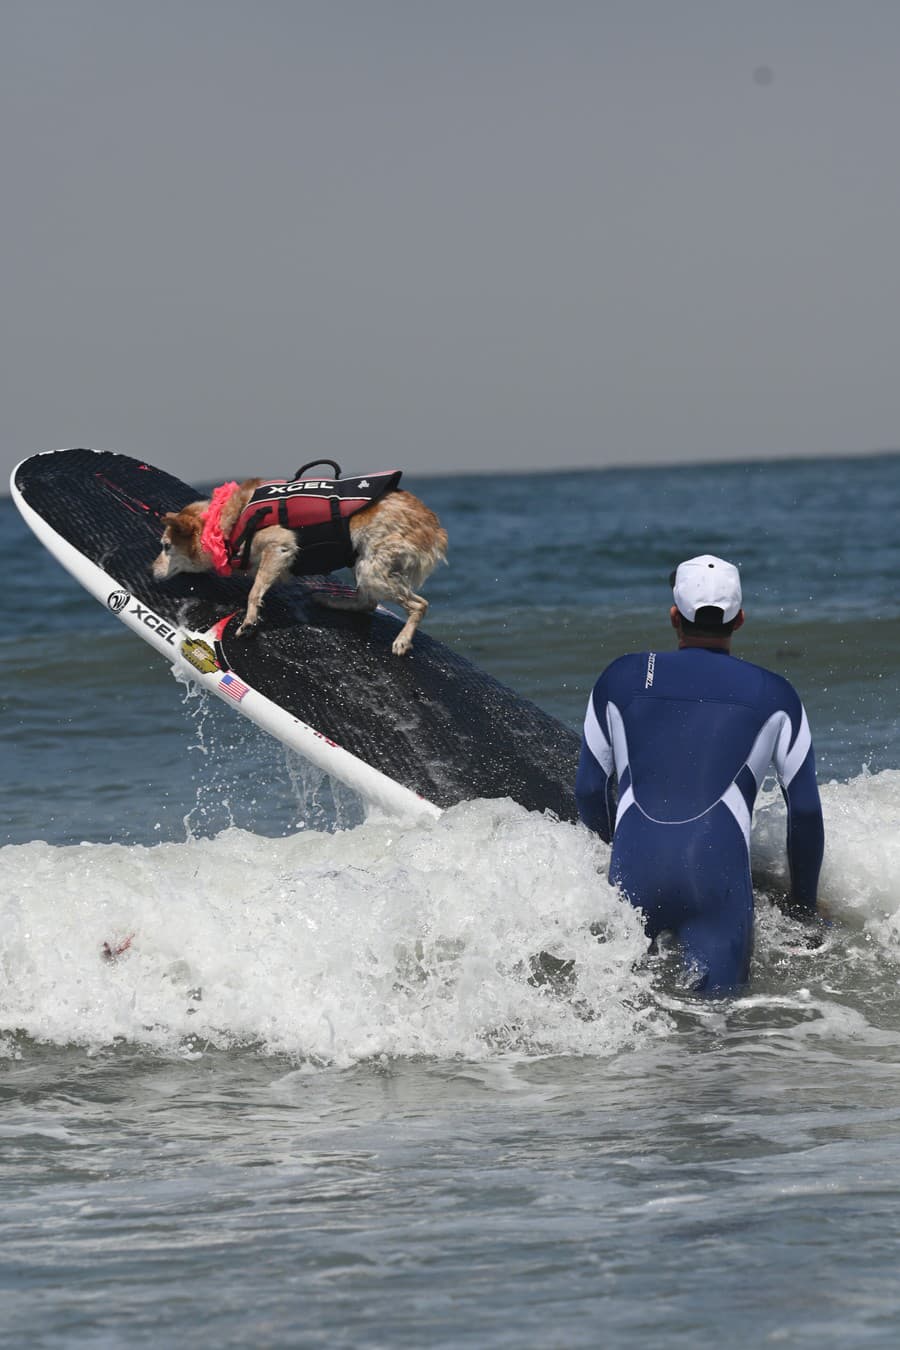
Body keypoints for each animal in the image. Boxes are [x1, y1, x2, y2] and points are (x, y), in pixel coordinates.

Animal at [155, 464, 450, 653]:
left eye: (166, 546)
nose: (151, 570)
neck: (226, 520)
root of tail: (433, 526)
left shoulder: (279, 547)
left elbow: (254, 591)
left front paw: (250, 620)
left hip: (372, 569)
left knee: (419, 605)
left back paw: (402, 640)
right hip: (365, 567)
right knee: (367, 603)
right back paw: (331, 600)